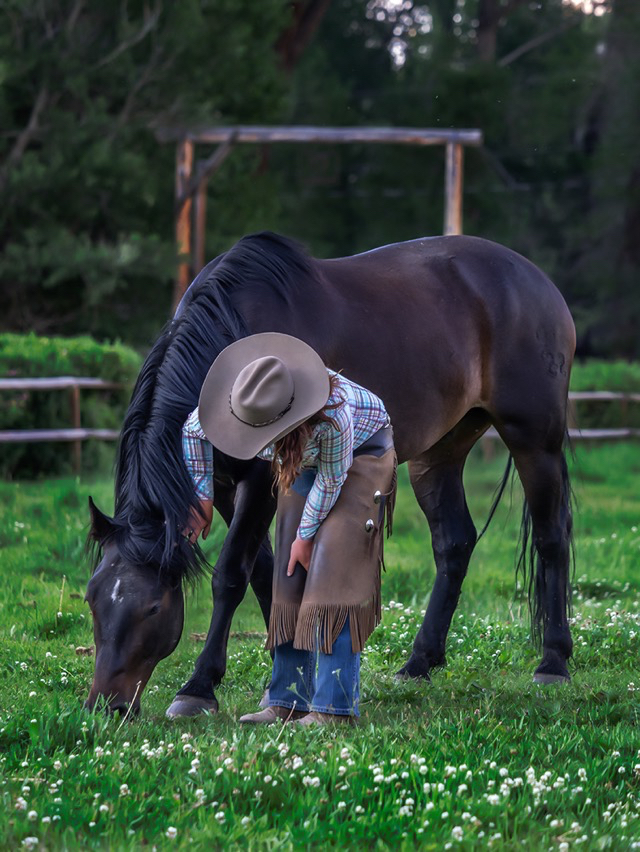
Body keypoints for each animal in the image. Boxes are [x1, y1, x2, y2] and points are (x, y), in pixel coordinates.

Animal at [84, 230, 576, 716]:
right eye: (92, 598)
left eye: (151, 608)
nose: (105, 706)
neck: (234, 339)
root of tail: (535, 280)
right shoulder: (221, 486)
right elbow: (267, 572)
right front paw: (282, 678)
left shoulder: (261, 482)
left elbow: (231, 574)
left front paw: (199, 686)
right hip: (438, 454)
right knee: (454, 544)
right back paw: (419, 662)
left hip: (534, 440)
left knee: (551, 537)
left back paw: (553, 662)